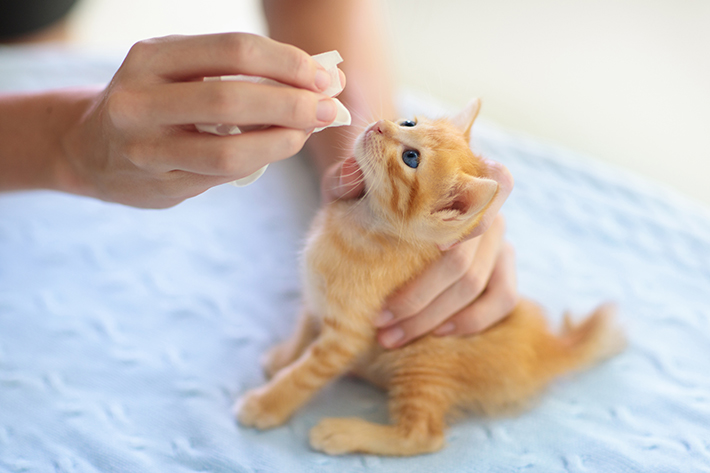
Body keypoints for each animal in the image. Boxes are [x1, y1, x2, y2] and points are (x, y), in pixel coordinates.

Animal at [236, 98, 624, 454]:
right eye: (409, 122)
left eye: (411, 158)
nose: (379, 125)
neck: (358, 223)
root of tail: (547, 348)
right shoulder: (316, 298)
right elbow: (304, 328)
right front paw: (284, 357)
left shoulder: (347, 336)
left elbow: (305, 374)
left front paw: (267, 403)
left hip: (424, 360)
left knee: (423, 436)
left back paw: (344, 432)